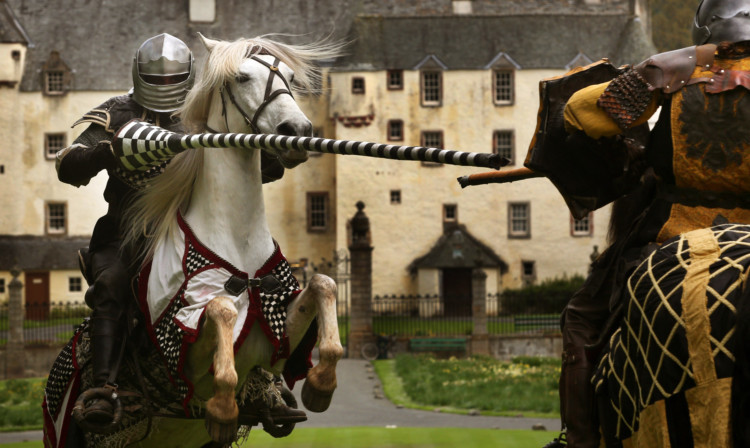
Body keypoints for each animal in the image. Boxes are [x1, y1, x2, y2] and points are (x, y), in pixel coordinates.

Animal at [42, 35, 346, 448]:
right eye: (241, 77)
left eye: (289, 75)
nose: (296, 129)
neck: (237, 241)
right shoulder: (187, 354)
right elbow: (222, 310)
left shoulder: (278, 338)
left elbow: (324, 285)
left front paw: (320, 384)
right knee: (109, 295)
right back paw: (103, 400)